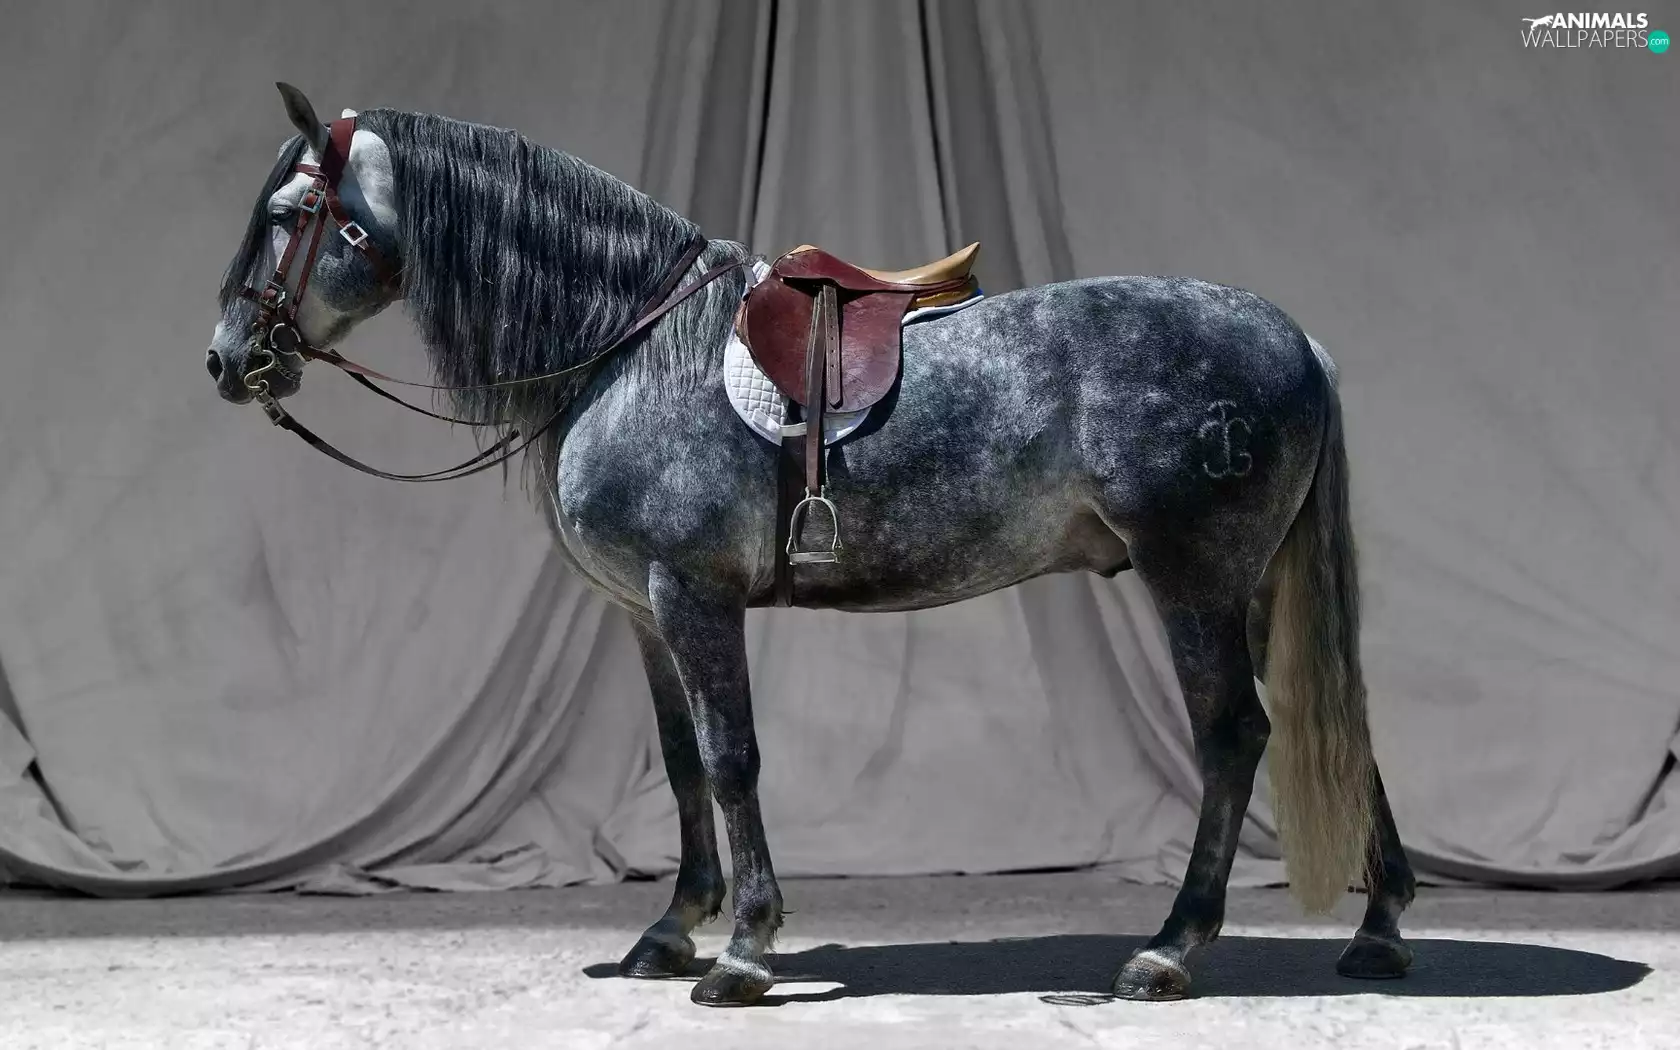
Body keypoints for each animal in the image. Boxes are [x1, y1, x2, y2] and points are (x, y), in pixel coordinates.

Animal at [202, 82, 1416, 1006]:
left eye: (294, 211)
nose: (226, 359)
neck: (633, 346)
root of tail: (1296, 340)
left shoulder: (692, 594)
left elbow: (733, 759)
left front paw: (742, 950)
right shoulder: (646, 612)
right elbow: (684, 760)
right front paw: (670, 931)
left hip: (1194, 581)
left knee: (1235, 738)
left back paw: (1168, 950)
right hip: (1257, 587)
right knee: (1337, 724)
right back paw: (1379, 932)